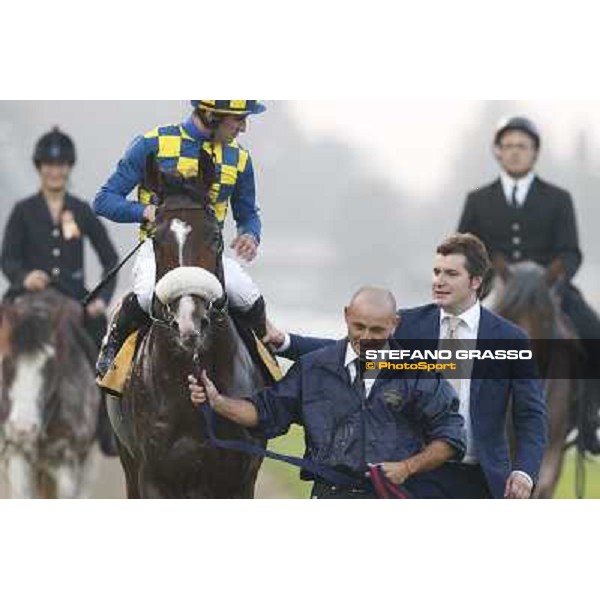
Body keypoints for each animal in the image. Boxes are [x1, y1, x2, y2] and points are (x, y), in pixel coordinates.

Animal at [108, 152, 268, 500]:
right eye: (155, 239)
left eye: (215, 237)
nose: (188, 321)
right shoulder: (154, 477)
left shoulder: (240, 479)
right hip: (127, 461)